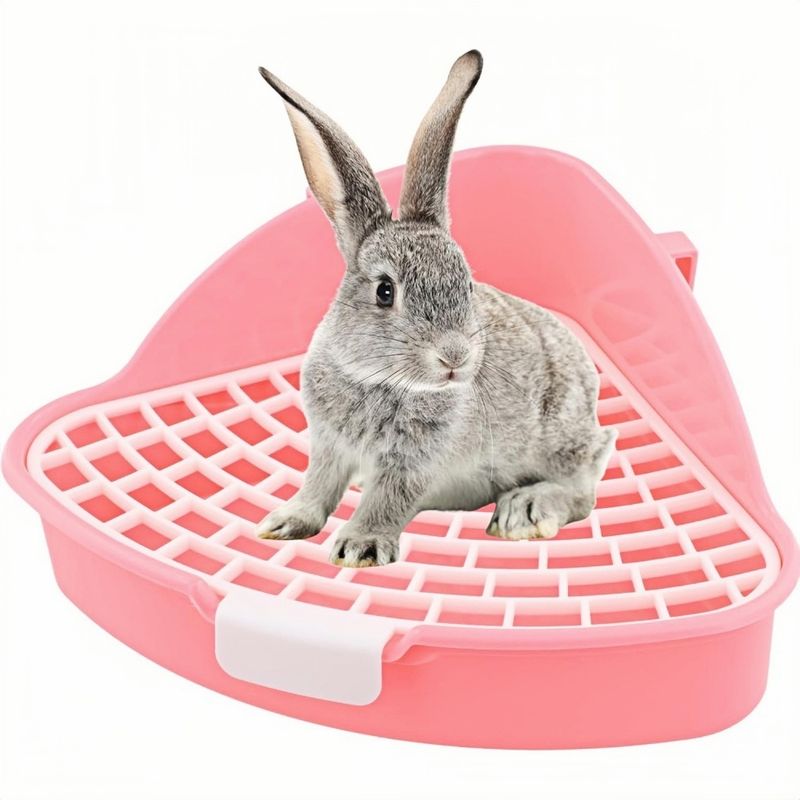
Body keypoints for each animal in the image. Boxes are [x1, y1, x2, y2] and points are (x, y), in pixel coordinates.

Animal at [255, 50, 616, 567]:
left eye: (466, 282)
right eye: (385, 291)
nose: (455, 357)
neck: (380, 379)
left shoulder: (412, 464)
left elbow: (386, 500)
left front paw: (360, 546)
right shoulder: (328, 446)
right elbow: (318, 487)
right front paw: (284, 523)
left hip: (560, 440)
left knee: (582, 491)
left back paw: (523, 512)